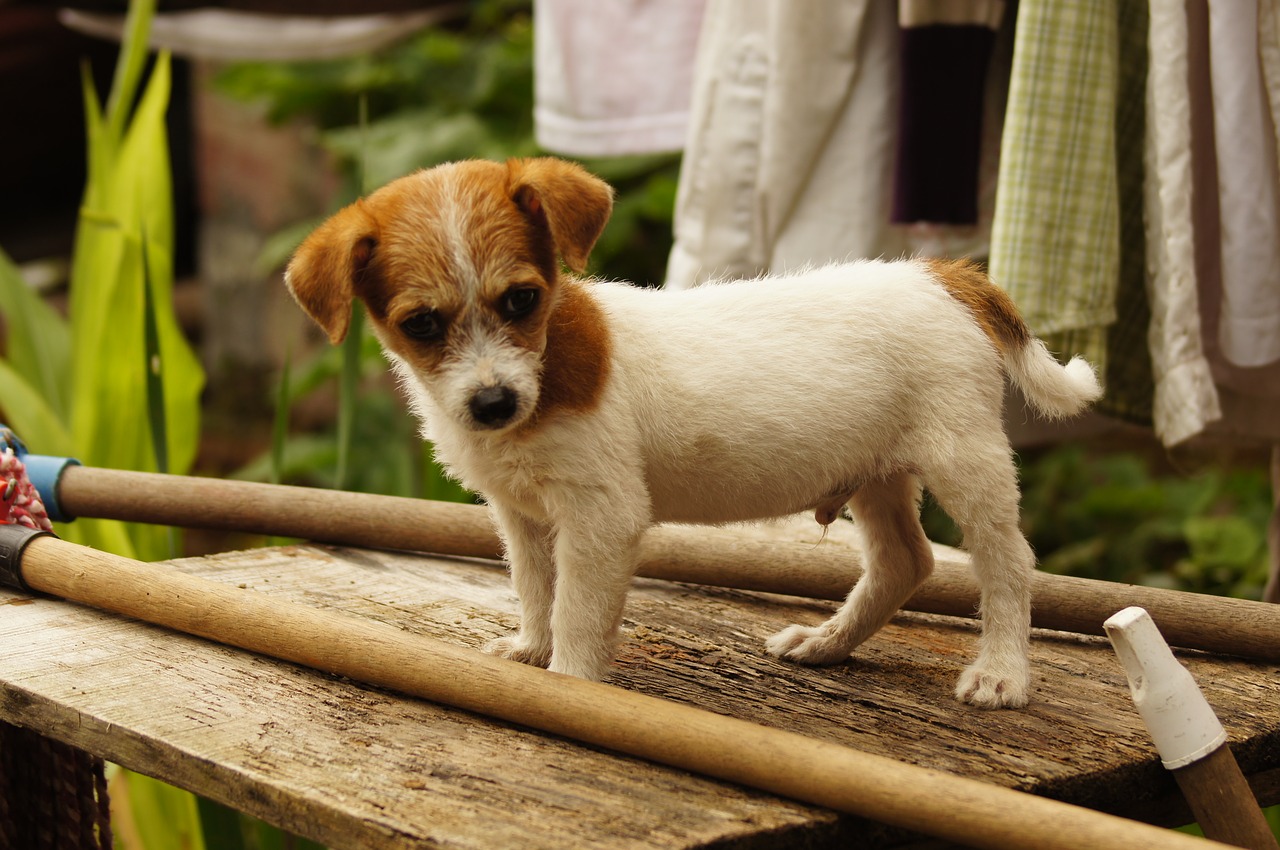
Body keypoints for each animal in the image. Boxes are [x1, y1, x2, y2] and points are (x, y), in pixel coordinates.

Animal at [288, 156, 1100, 706]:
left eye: (520, 299)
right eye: (421, 325)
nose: (492, 403)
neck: (548, 368)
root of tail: (942, 275)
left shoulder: (602, 516)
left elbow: (577, 610)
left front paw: (568, 685)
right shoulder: (522, 514)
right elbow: (535, 588)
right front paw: (532, 649)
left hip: (966, 458)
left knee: (1008, 563)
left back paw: (1001, 673)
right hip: (878, 470)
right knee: (907, 561)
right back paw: (827, 644)